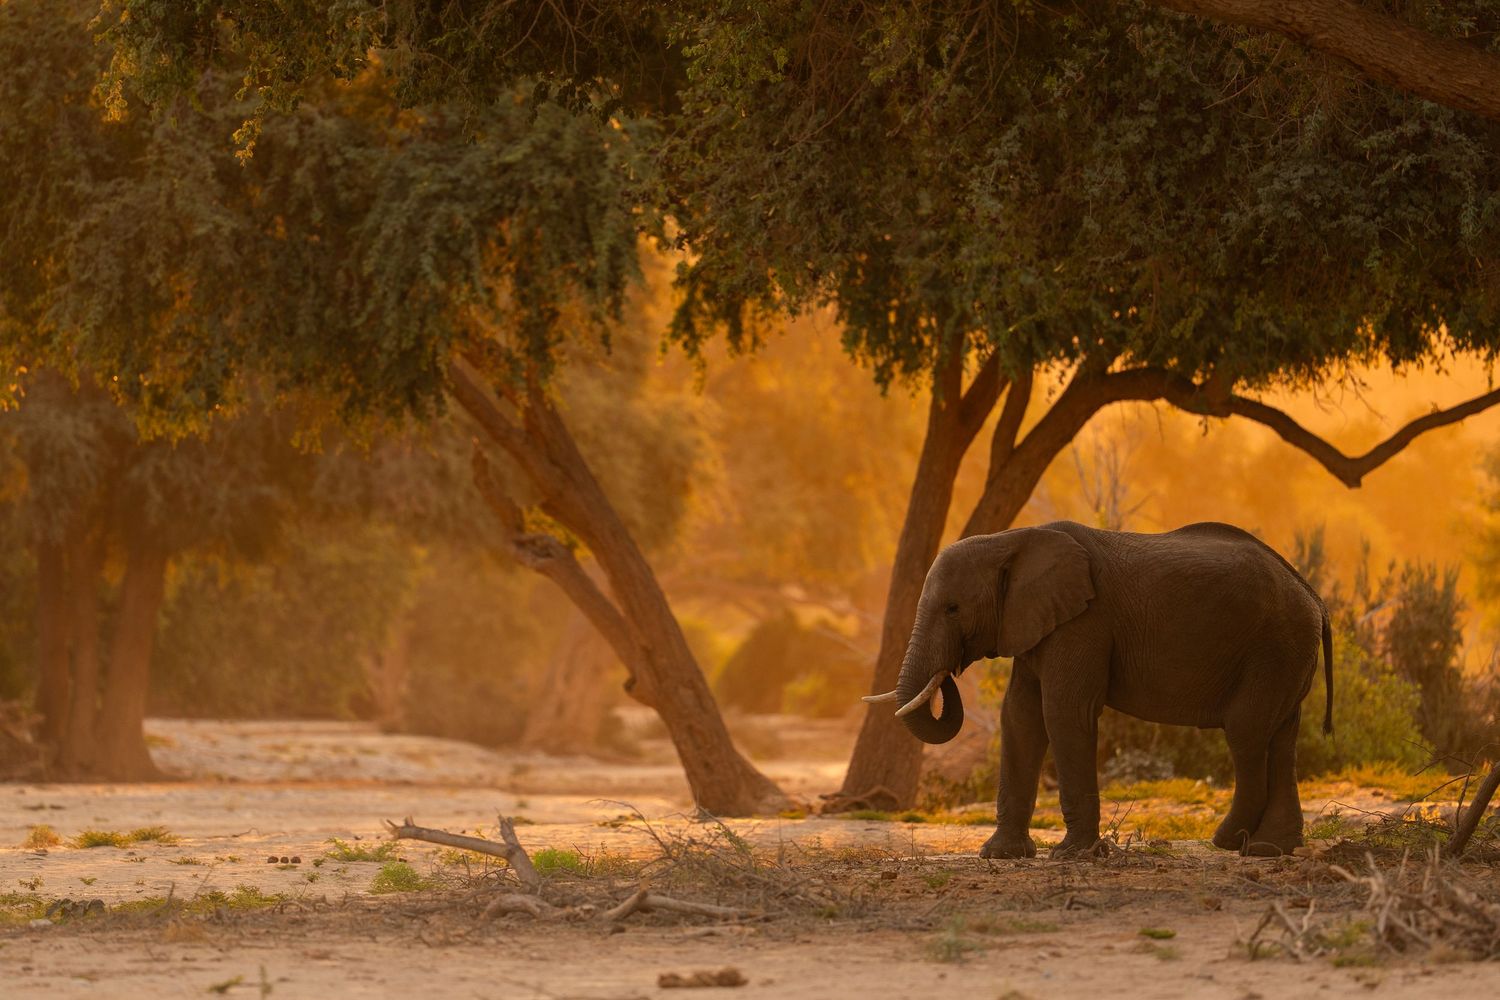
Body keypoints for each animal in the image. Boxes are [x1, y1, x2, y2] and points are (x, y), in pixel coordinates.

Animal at [865, 521, 1332, 858]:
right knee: (1282, 737)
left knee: (1246, 732)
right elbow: (1019, 717)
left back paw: (1231, 842)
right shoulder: (1037, 623)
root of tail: (1314, 596)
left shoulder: (1084, 622)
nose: (950, 673)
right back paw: (1269, 850)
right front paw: (1001, 855)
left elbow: (1063, 712)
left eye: (953, 608)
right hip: (1288, 653)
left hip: (1274, 647)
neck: (1010, 539)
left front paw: (1073, 856)